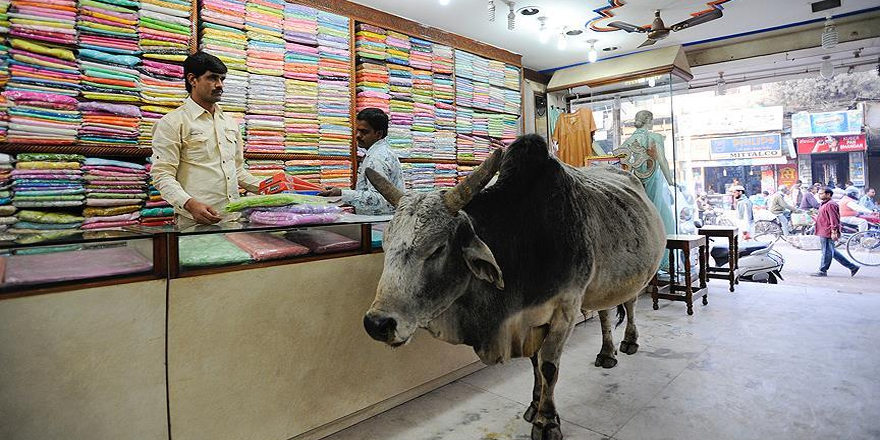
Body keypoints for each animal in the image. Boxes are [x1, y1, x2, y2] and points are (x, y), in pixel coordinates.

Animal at [360, 135, 660, 440]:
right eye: (385, 244)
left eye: (438, 248)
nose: (378, 324)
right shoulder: (529, 319)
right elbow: (534, 362)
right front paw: (534, 405)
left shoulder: (565, 308)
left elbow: (548, 365)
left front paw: (547, 421)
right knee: (605, 313)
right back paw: (606, 353)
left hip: (635, 277)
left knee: (630, 304)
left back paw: (628, 342)